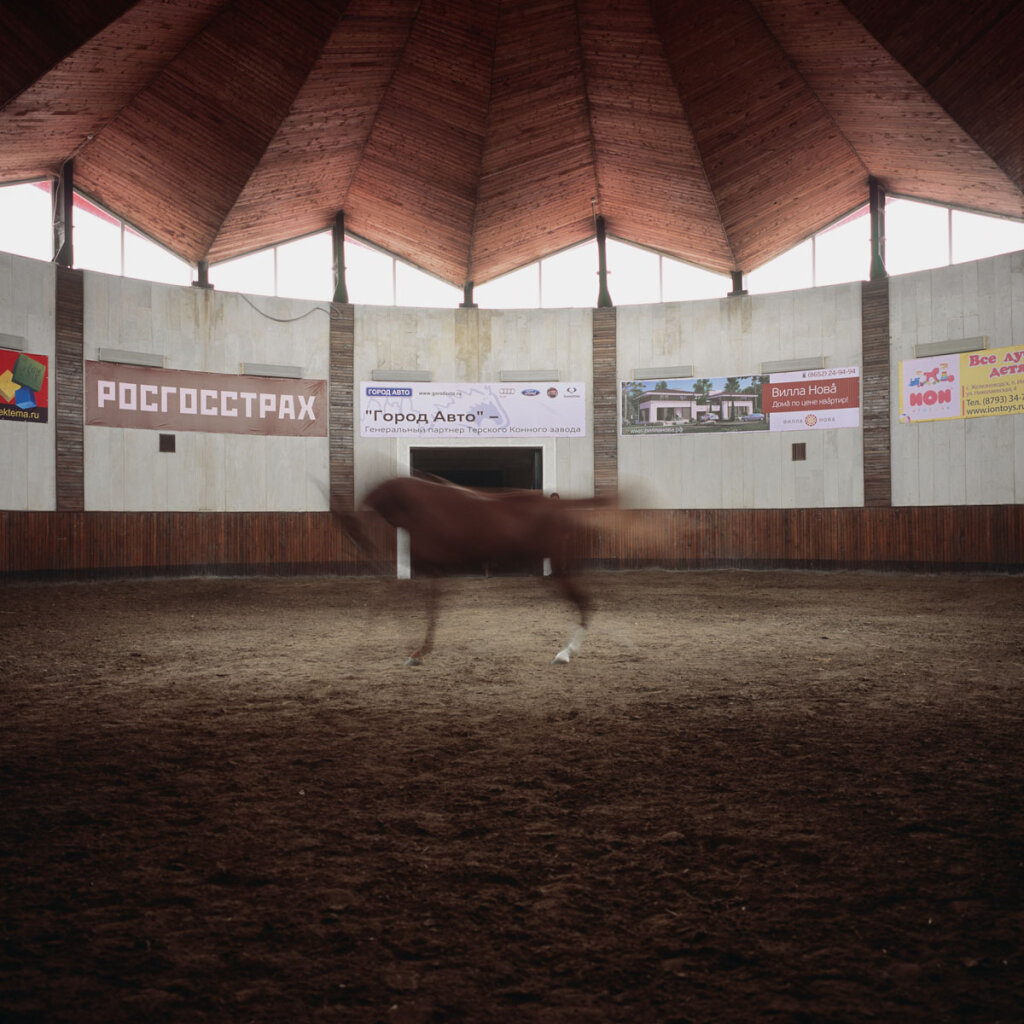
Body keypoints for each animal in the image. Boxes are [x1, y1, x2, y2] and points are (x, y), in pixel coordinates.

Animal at [339, 473, 602, 663]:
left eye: (353, 527)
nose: (367, 552)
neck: (418, 506)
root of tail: (556, 506)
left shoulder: (431, 567)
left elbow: (405, 598)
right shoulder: (430, 569)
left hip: (558, 569)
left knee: (584, 602)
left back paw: (565, 653)